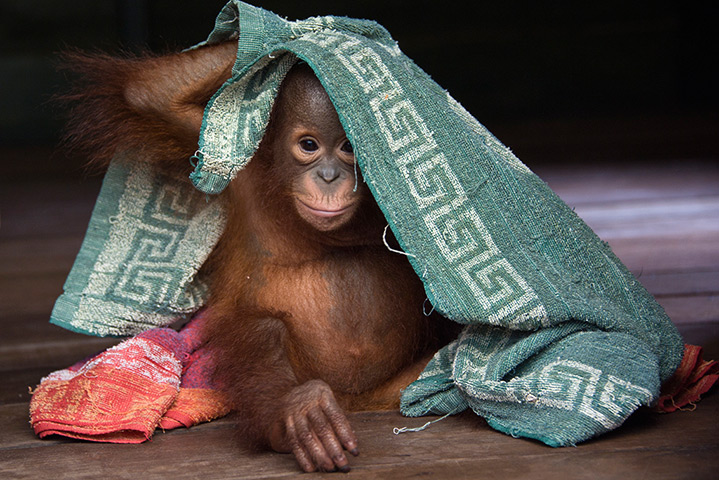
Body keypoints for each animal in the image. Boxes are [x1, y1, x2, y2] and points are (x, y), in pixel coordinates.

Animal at [60, 41, 459, 473]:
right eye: (308, 145)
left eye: (349, 147)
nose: (330, 177)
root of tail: (353, 402)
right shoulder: (230, 163)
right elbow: (149, 96)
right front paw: (305, 35)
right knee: (261, 332)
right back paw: (295, 413)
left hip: (399, 389)